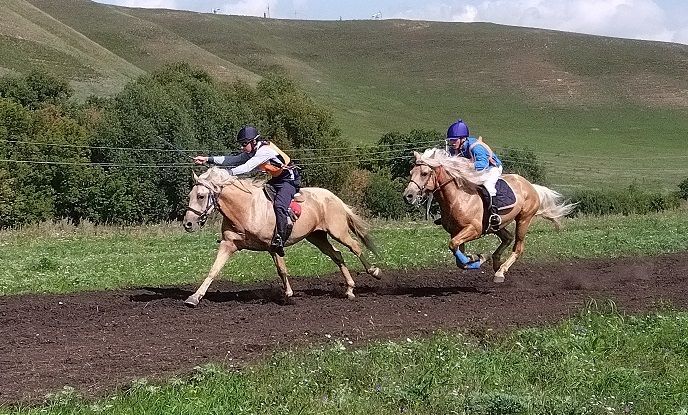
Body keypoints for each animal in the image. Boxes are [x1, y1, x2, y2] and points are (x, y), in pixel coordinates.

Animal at [181, 167, 382, 308]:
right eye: (190, 195)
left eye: (201, 196)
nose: (188, 224)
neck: (247, 208)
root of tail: (334, 197)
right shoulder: (229, 244)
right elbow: (213, 270)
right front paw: (194, 297)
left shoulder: (274, 245)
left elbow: (282, 270)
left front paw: (288, 295)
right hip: (317, 237)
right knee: (337, 255)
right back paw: (349, 289)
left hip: (338, 232)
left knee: (355, 247)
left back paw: (374, 271)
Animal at [404, 150, 576, 282]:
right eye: (411, 172)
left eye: (424, 173)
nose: (408, 196)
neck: (457, 198)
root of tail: (530, 186)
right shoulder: (456, 231)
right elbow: (458, 255)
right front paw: (476, 258)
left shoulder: (474, 229)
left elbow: (453, 245)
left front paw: (479, 258)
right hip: (497, 225)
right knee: (507, 238)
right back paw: (496, 263)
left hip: (523, 219)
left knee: (518, 247)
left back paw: (500, 271)